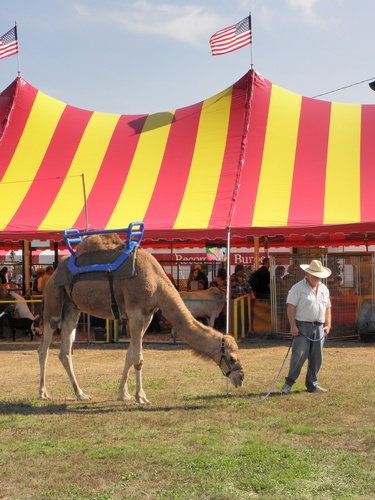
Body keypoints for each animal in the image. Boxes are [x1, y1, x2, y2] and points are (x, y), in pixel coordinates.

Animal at [38, 231, 244, 402]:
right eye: (232, 358)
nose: (241, 378)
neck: (158, 284)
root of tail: (53, 273)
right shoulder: (136, 314)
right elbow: (138, 358)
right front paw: (141, 396)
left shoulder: (147, 317)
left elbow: (129, 355)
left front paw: (124, 393)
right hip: (53, 304)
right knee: (44, 349)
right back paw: (43, 392)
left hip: (72, 308)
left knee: (65, 351)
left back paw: (80, 393)